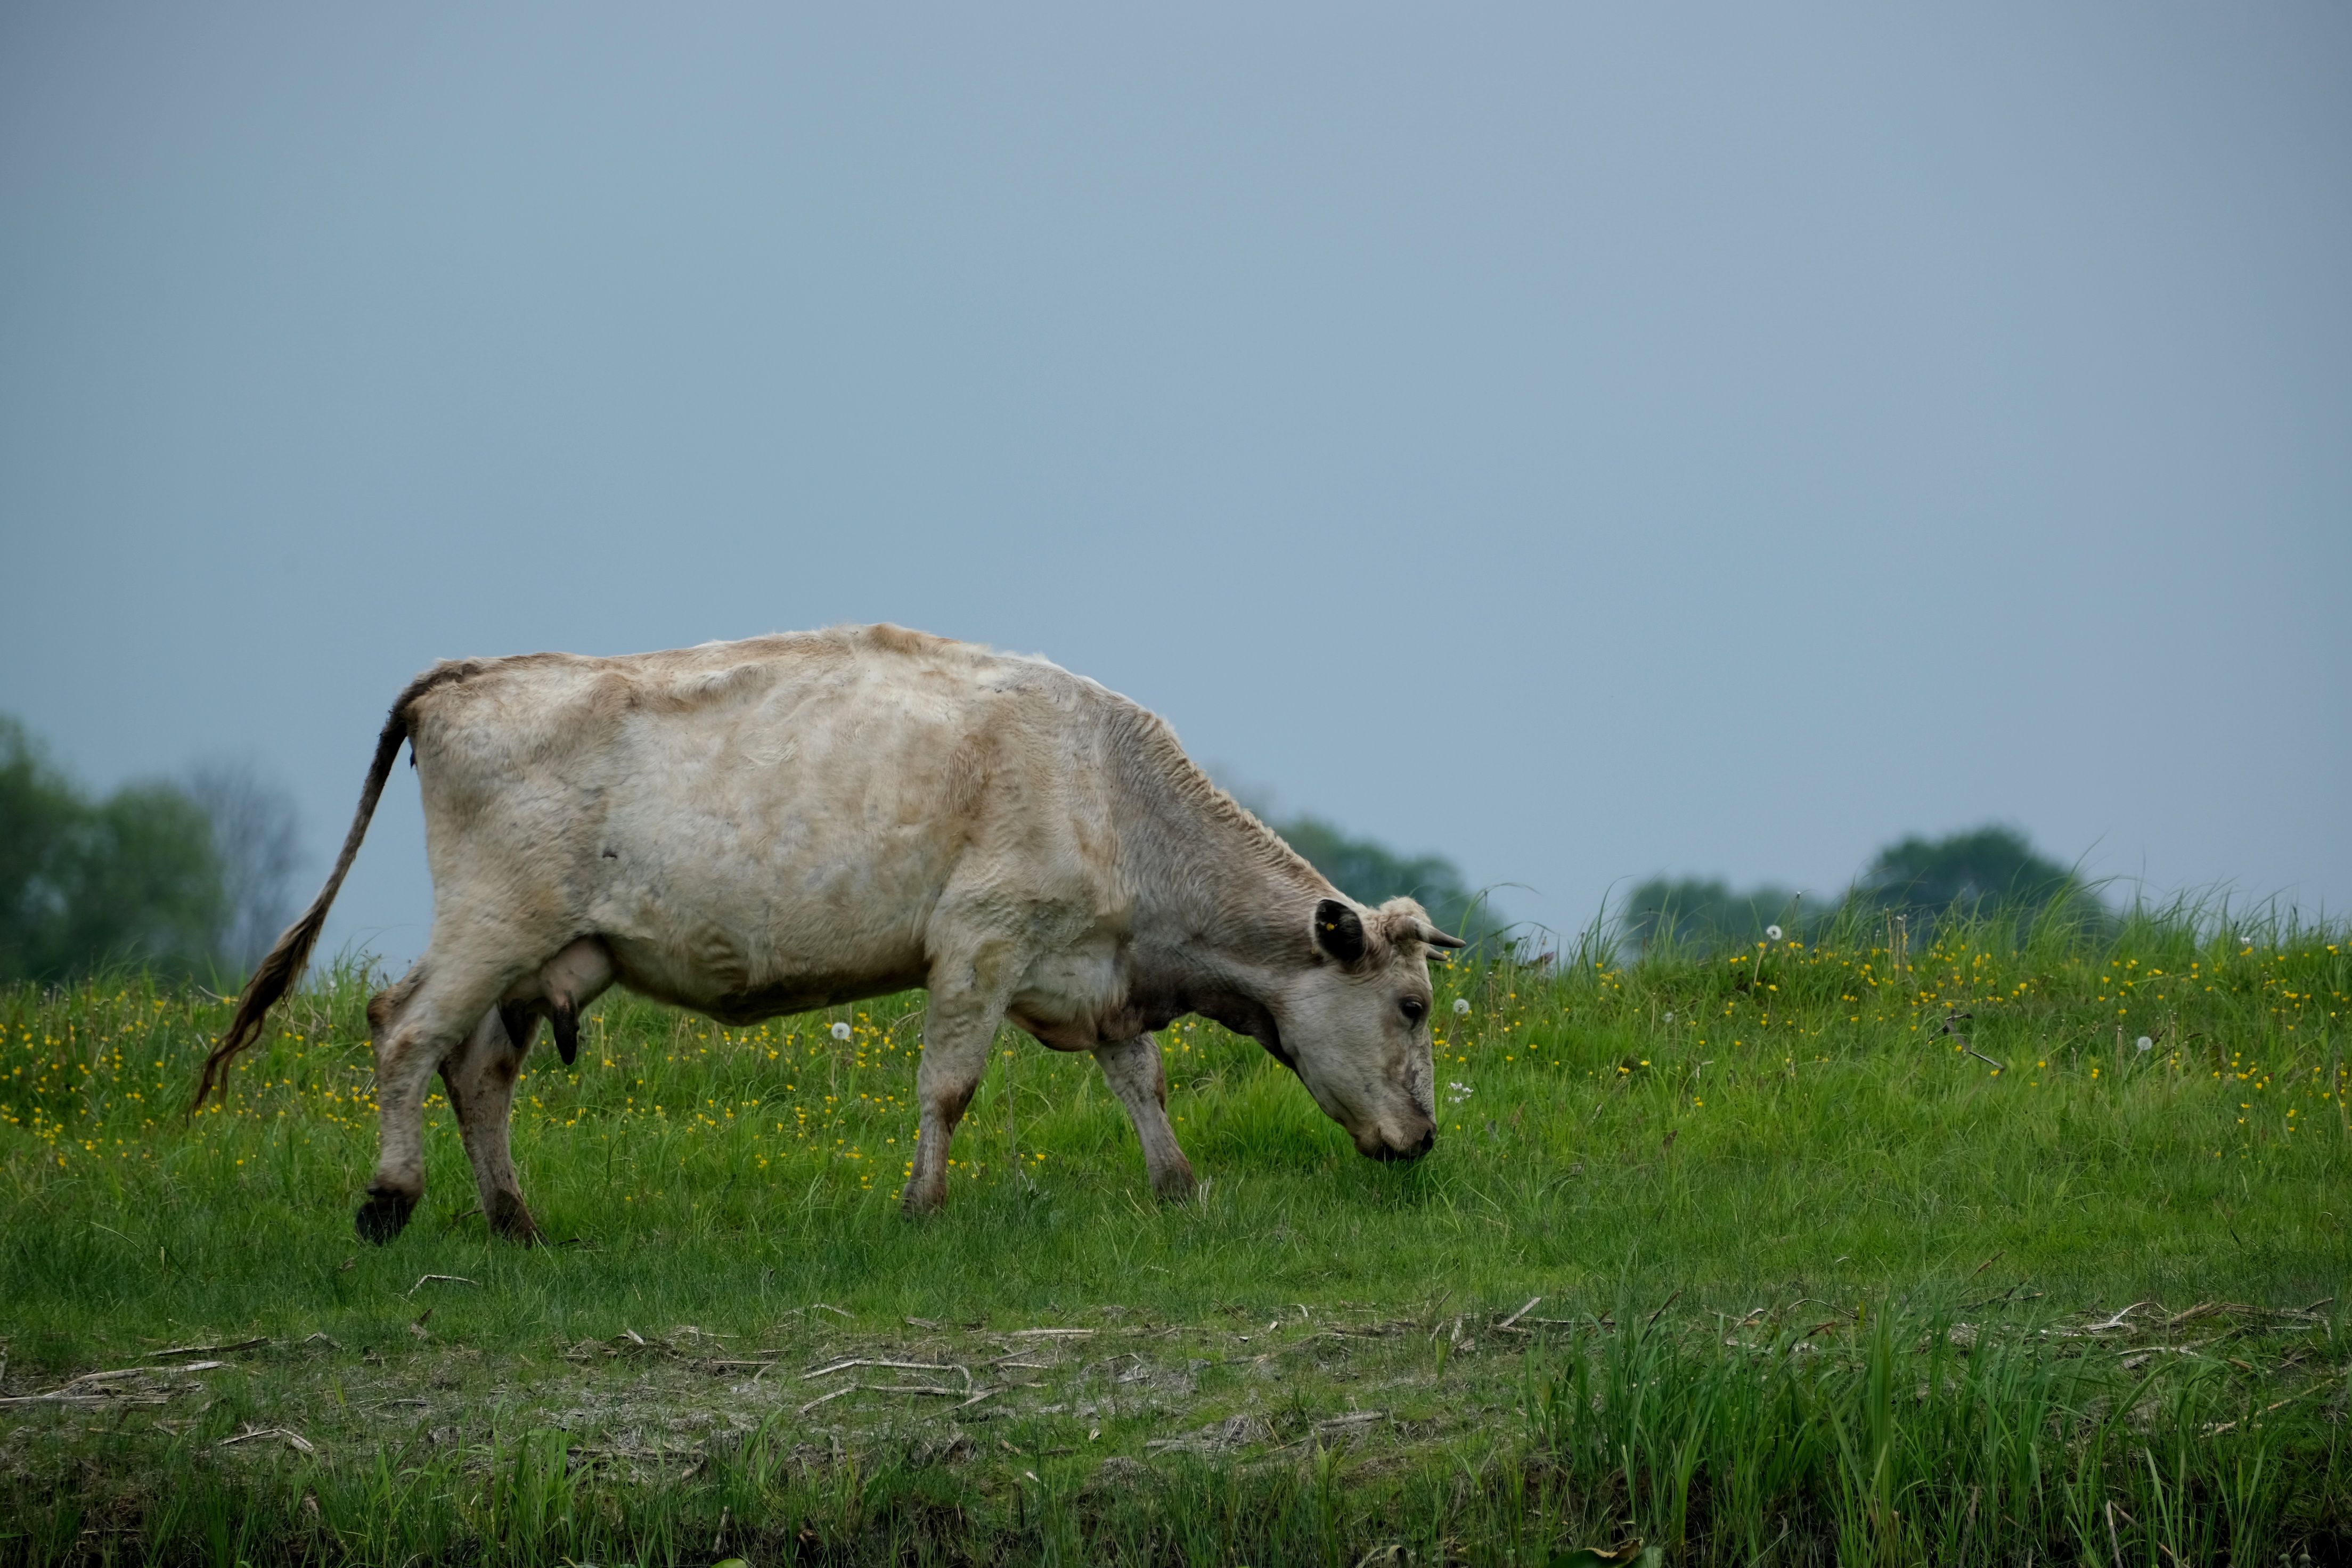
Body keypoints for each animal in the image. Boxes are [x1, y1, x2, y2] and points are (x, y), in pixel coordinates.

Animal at [195, 625, 1463, 1244]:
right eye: (1410, 1005)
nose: (1424, 1137)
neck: (1115, 795)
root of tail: (468, 674)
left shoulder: (1087, 966)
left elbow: (1140, 1079)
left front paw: (1180, 1189)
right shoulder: (980, 942)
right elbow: (949, 1085)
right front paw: (920, 1208)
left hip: (547, 955)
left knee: (480, 1070)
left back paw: (515, 1221)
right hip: (493, 920)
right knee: (403, 1027)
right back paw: (389, 1200)